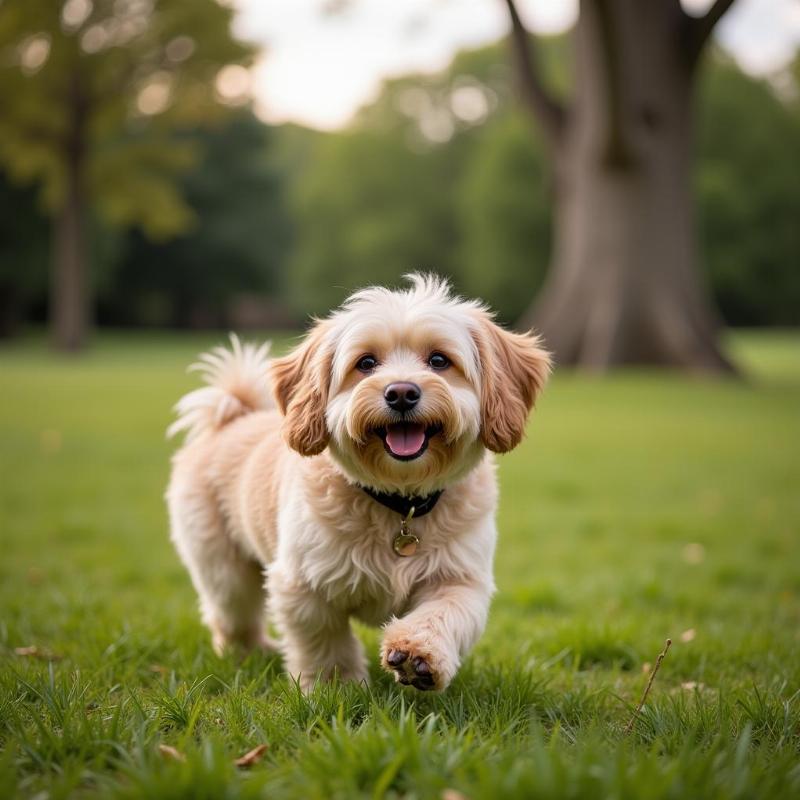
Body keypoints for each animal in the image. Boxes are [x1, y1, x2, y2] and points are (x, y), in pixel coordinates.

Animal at [166, 274, 552, 688]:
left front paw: (417, 656)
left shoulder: (461, 578)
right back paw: (252, 653)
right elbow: (325, 640)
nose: (401, 392)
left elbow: (443, 614)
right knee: (233, 616)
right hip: (223, 568)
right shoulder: (304, 584)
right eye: (366, 363)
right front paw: (335, 686)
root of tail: (233, 417)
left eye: (439, 360)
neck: (400, 501)